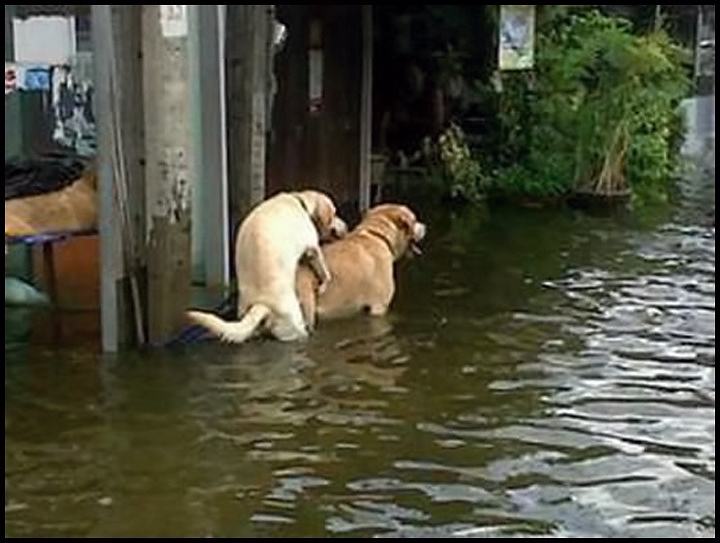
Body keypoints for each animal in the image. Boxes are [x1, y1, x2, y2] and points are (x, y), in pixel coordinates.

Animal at [188, 191, 346, 344]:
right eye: (334, 213)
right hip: (295, 324)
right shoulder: (312, 247)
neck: (300, 201)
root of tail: (261, 304)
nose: (346, 226)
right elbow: (323, 270)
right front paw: (325, 282)